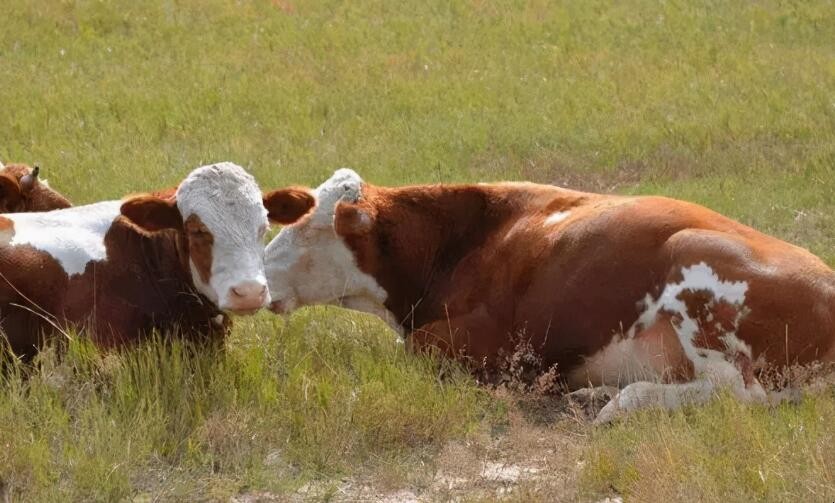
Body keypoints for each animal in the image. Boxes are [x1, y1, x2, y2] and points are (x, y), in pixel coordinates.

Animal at [264, 170, 835, 426]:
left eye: (309, 231)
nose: (259, 277)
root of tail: (826, 281)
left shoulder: (487, 344)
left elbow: (421, 350)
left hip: (696, 263)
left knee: (738, 394)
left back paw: (620, 402)